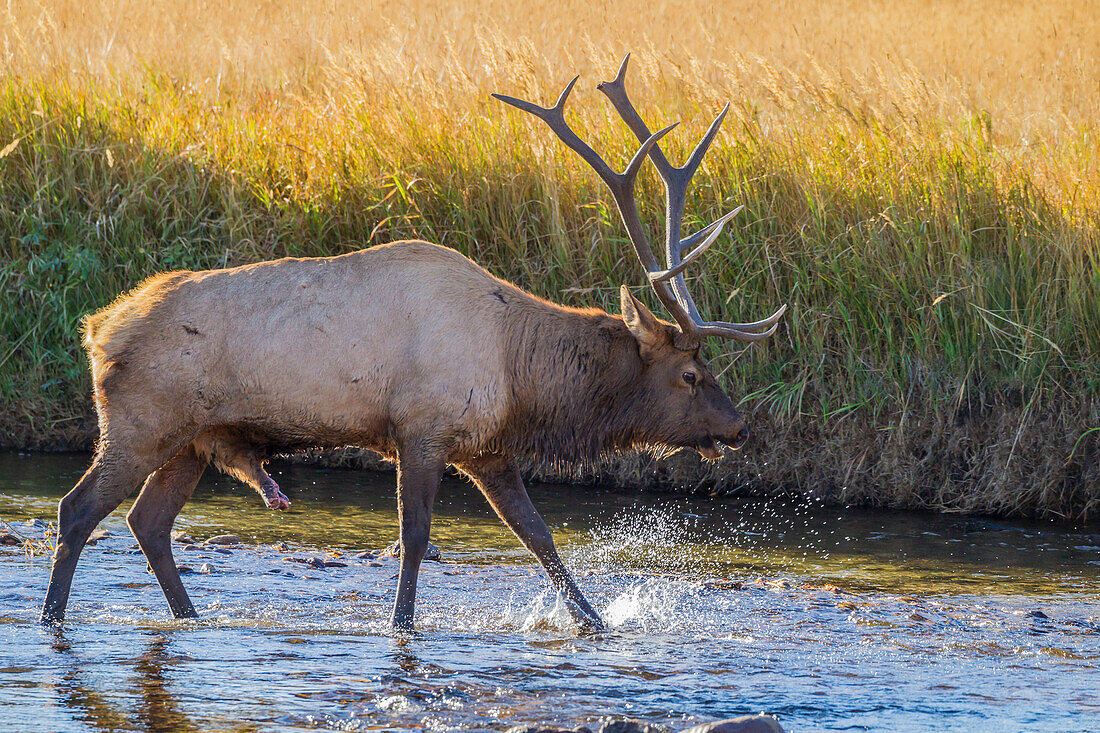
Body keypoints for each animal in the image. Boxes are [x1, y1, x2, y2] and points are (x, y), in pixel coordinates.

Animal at [40, 57, 783, 629]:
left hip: (194, 439)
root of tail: (98, 328)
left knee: (147, 522)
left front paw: (595, 622)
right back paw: (52, 620)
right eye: (690, 373)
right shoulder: (420, 429)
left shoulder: (486, 448)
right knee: (77, 509)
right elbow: (415, 537)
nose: (741, 428)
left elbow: (539, 536)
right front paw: (401, 625)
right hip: (142, 420)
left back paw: (188, 616)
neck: (521, 375)